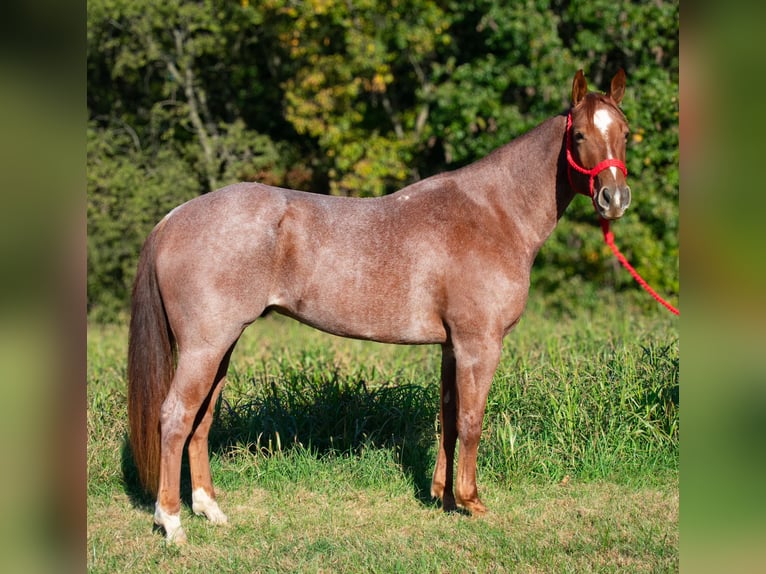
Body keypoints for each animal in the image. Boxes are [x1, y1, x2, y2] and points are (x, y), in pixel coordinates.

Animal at [130, 68, 636, 544]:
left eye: (626, 133)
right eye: (579, 135)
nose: (614, 199)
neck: (493, 214)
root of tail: (173, 218)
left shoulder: (451, 347)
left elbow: (448, 419)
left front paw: (441, 496)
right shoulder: (479, 345)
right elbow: (471, 421)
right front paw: (471, 502)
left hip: (222, 346)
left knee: (201, 420)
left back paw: (209, 510)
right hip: (205, 346)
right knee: (175, 417)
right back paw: (172, 523)